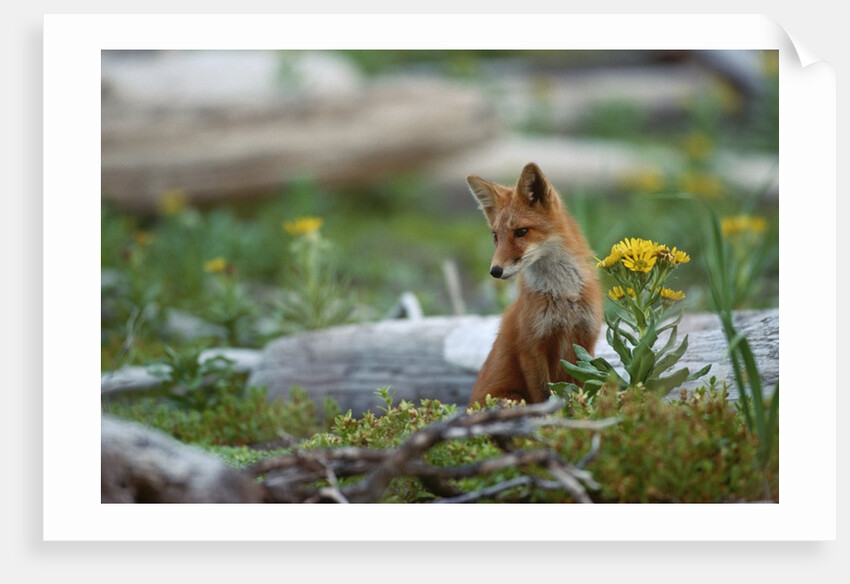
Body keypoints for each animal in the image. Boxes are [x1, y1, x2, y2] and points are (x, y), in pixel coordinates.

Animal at [466, 162, 603, 406]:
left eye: (521, 232)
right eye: (495, 236)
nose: (495, 271)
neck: (563, 296)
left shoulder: (586, 341)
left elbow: (582, 386)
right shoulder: (531, 348)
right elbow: (543, 395)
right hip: (512, 398)